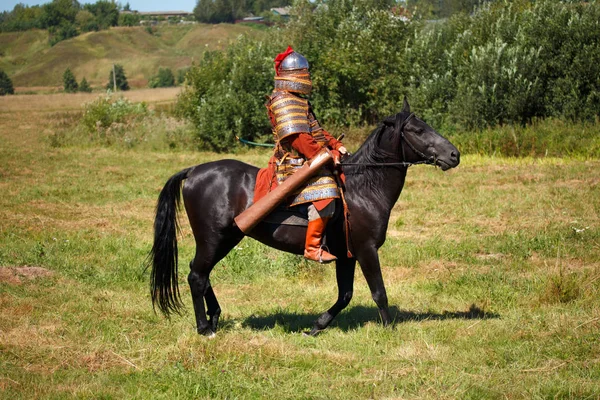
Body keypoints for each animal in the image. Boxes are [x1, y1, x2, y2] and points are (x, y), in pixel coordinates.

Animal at [149, 98, 460, 336]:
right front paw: (389, 331)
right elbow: (378, 292)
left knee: (201, 273)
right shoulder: (366, 250)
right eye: (418, 129)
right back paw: (205, 327)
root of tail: (193, 171)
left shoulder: (346, 255)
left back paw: (214, 316)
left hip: (225, 239)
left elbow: (345, 295)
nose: (454, 155)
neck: (364, 187)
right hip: (213, 239)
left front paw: (316, 326)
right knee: (196, 276)